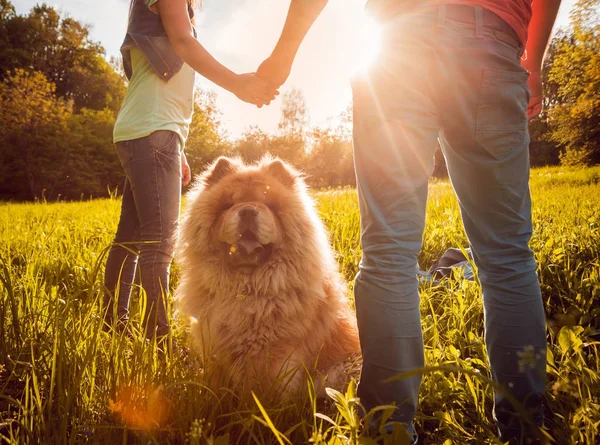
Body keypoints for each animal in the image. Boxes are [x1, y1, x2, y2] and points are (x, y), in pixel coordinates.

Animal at [175, 155, 360, 392]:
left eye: (268, 204)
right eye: (229, 205)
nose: (247, 211)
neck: (244, 288)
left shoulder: (270, 350)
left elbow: (259, 387)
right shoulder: (214, 342)